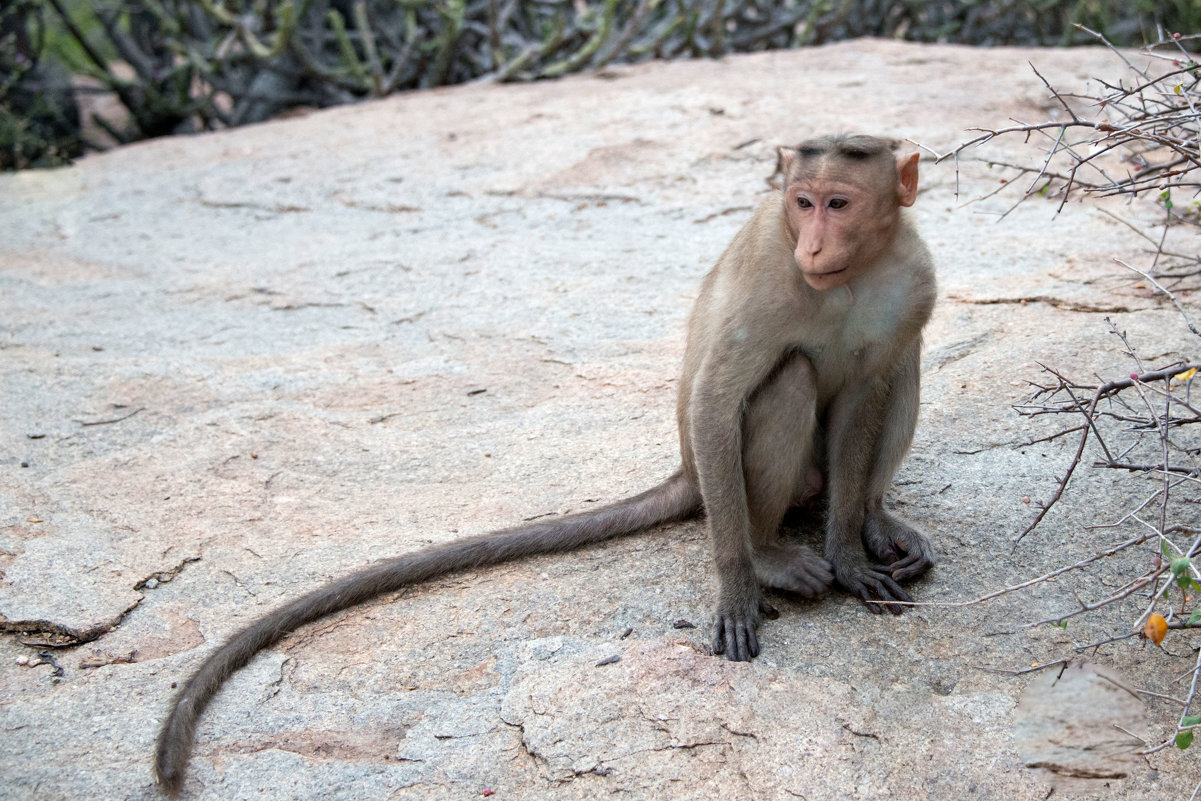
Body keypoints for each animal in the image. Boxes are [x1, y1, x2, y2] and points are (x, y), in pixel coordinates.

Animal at [152, 133, 936, 797]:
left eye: (839, 203)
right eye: (803, 202)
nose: (814, 243)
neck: (849, 273)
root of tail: (686, 475)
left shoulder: (915, 277)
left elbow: (868, 387)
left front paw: (849, 549)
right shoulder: (770, 270)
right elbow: (716, 399)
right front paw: (740, 583)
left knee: (900, 362)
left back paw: (875, 519)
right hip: (722, 480)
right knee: (788, 376)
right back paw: (770, 551)